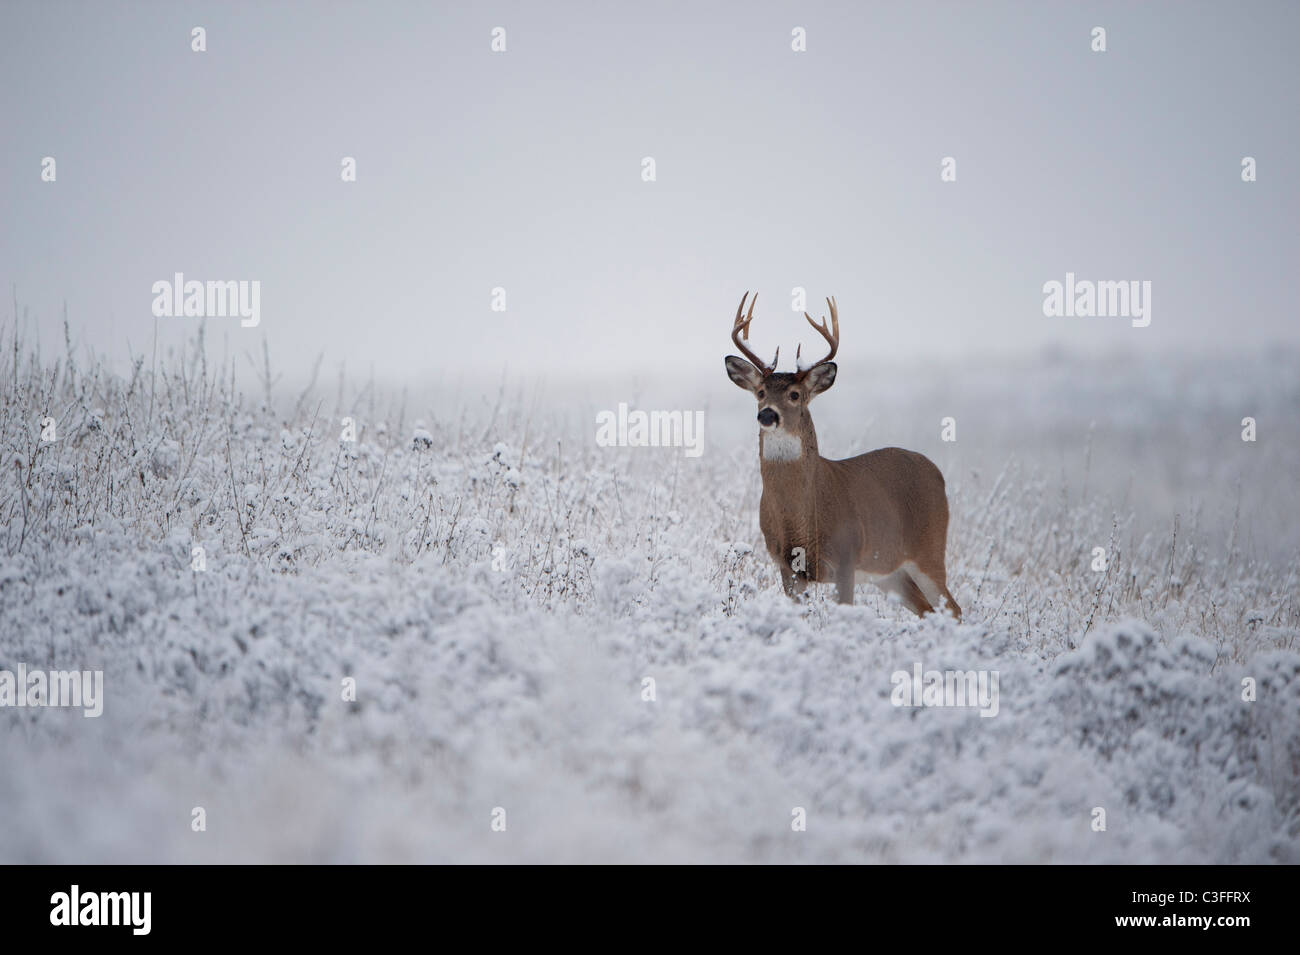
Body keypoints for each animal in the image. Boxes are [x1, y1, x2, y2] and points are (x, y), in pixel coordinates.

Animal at [728, 293, 961, 621]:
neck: (801, 516)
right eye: (760, 392)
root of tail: (937, 472)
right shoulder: (787, 566)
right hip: (890, 572)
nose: (767, 414)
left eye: (795, 395)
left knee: (953, 608)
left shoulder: (846, 556)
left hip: (929, 549)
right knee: (927, 609)